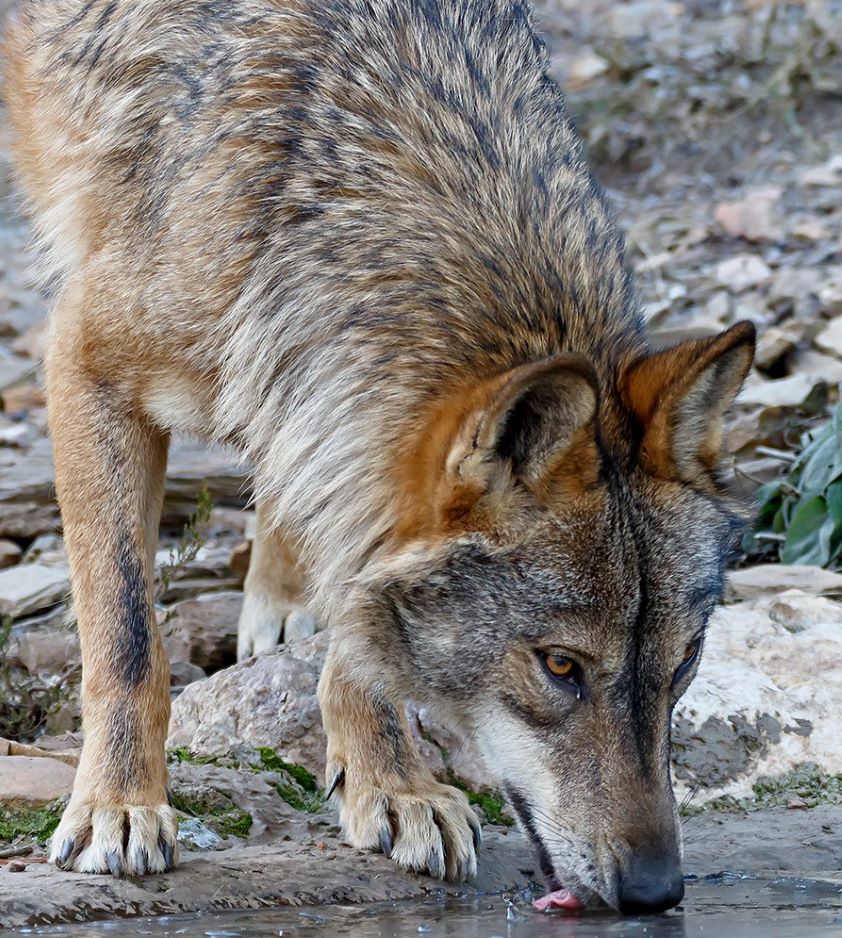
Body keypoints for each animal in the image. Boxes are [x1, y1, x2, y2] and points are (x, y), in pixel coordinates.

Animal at [4, 0, 756, 912]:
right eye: (561, 665)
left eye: (683, 660)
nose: (656, 893)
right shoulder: (87, 365)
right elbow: (127, 637)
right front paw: (119, 805)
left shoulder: (344, 442)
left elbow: (362, 626)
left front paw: (393, 783)